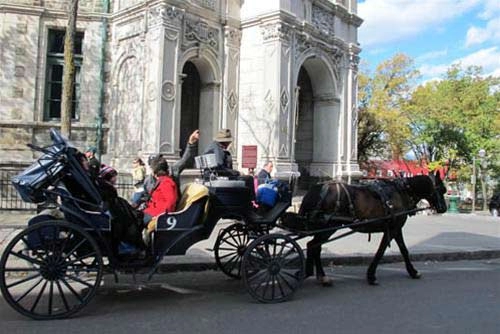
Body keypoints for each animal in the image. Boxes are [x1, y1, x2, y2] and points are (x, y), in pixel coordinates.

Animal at [298, 172, 448, 284]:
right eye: (442, 189)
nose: (444, 208)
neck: (402, 191)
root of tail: (316, 189)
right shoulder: (392, 229)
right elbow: (381, 251)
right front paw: (371, 275)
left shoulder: (396, 228)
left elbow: (403, 250)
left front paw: (412, 271)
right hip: (329, 227)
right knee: (314, 245)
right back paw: (321, 276)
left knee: (313, 246)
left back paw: (315, 274)